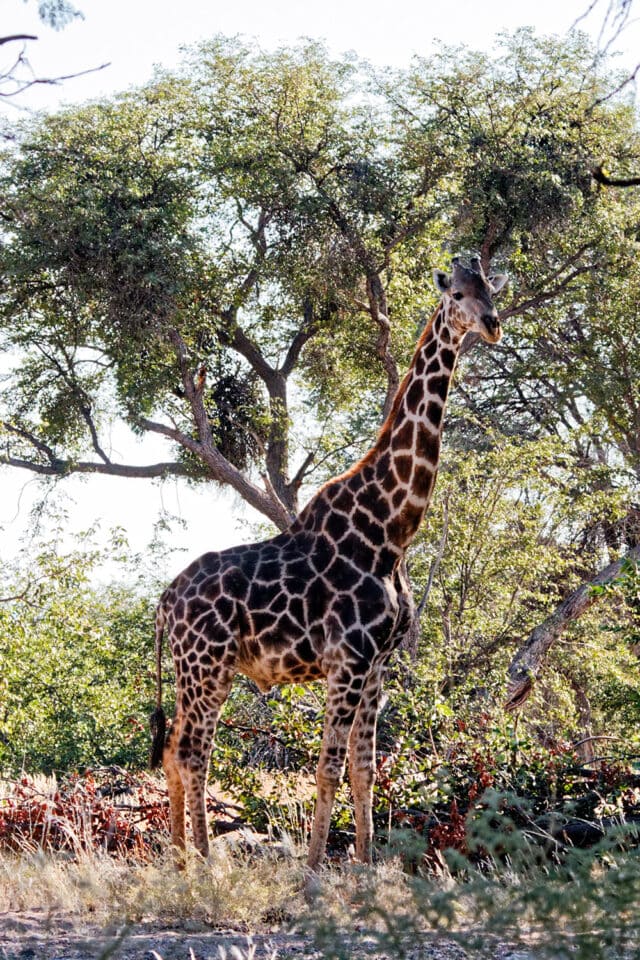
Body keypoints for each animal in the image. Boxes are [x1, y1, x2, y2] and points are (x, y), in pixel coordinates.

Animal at [150, 255, 507, 871]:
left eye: (491, 290)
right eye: (458, 294)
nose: (491, 325)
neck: (390, 530)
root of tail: (164, 602)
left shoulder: (377, 664)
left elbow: (364, 770)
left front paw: (365, 864)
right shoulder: (348, 661)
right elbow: (328, 769)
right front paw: (315, 867)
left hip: (196, 669)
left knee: (176, 748)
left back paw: (180, 860)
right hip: (206, 665)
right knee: (192, 751)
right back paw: (205, 861)